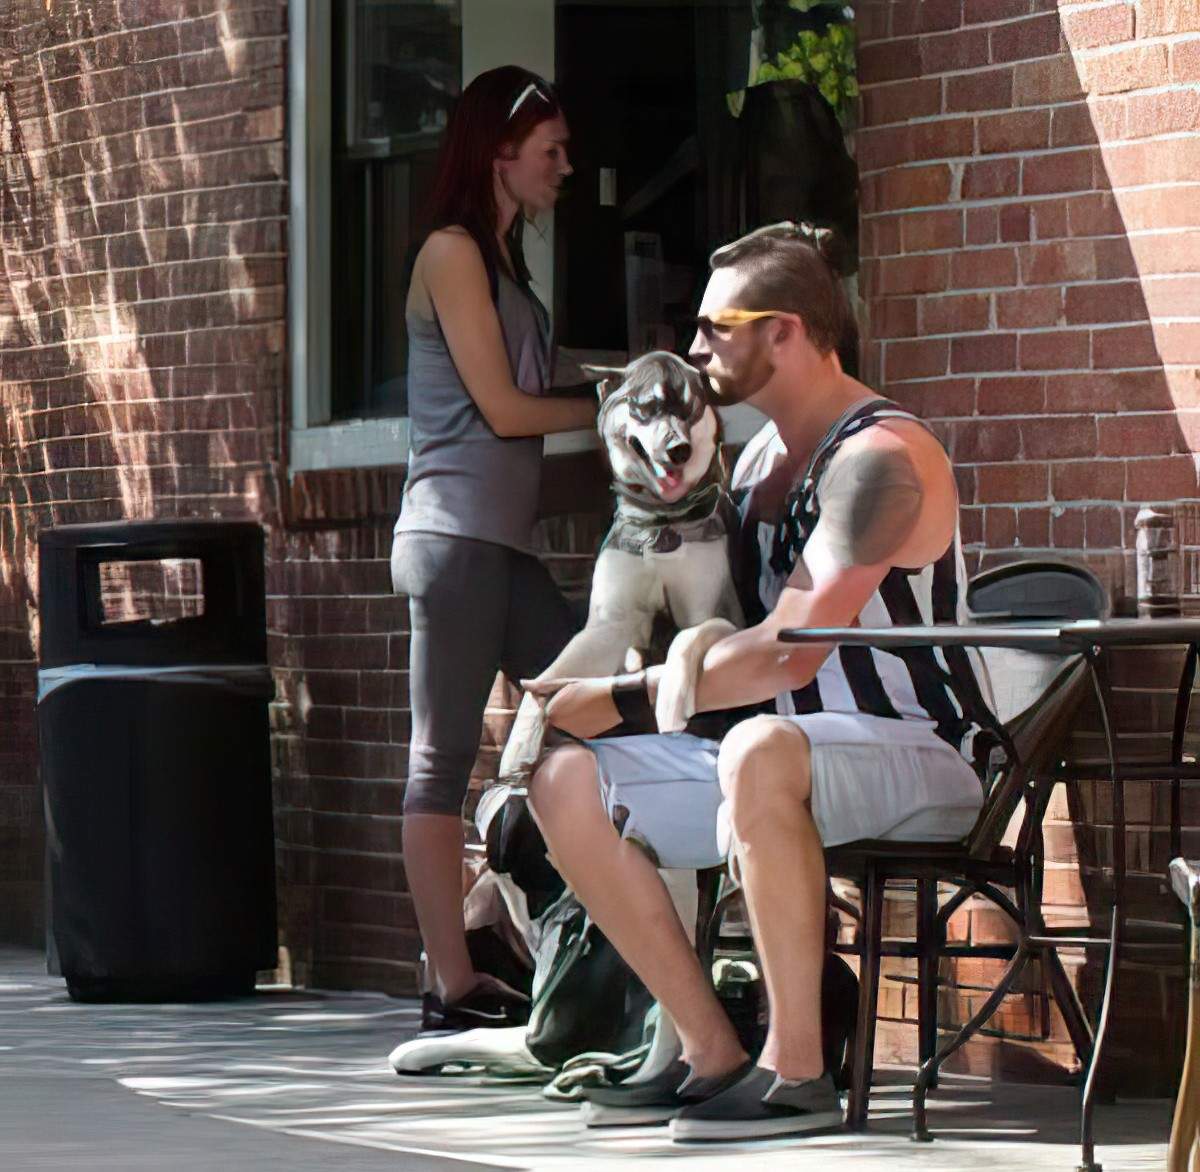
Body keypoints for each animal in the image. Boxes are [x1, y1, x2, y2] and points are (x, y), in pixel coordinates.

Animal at [494, 350, 739, 786]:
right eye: (647, 407)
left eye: (690, 409)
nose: (679, 450)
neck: (662, 522)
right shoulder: (609, 626)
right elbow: (545, 679)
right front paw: (518, 748)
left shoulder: (718, 614)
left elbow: (689, 634)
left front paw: (672, 696)